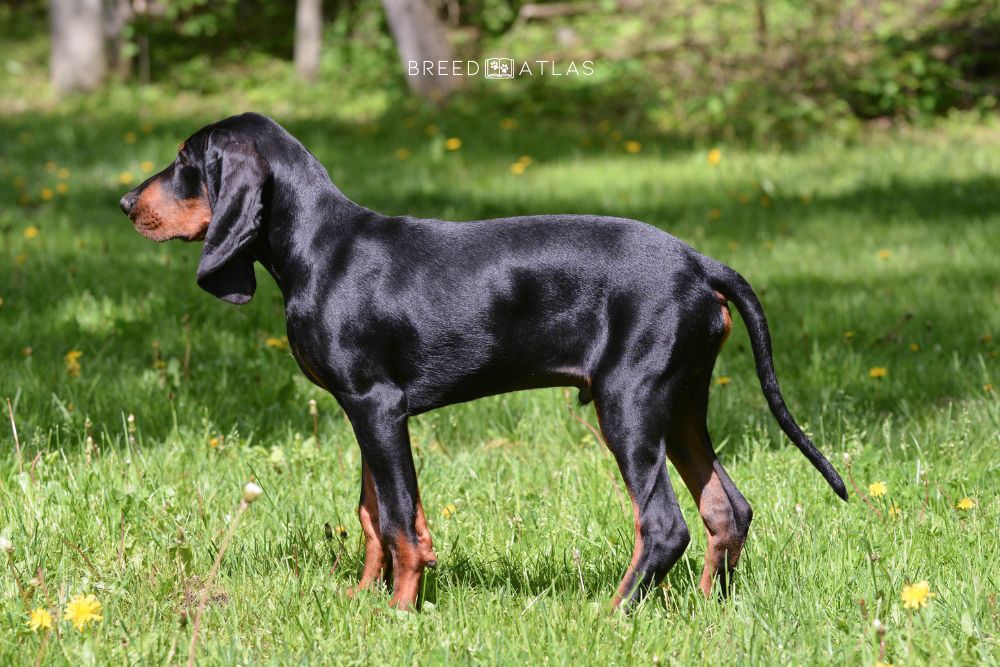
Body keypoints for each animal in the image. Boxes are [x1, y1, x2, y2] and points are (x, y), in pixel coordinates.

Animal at [121, 113, 848, 612]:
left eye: (186, 160)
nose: (127, 203)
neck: (320, 247)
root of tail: (700, 263)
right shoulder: (362, 410)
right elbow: (374, 514)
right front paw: (362, 598)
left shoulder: (378, 405)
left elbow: (398, 519)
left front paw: (398, 611)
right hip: (682, 403)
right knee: (728, 509)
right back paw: (701, 608)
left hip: (630, 403)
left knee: (665, 525)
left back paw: (610, 614)